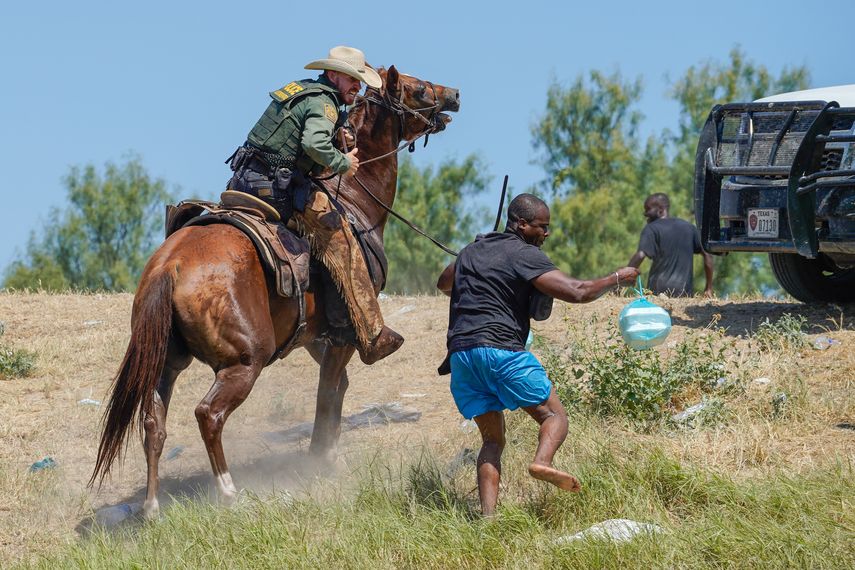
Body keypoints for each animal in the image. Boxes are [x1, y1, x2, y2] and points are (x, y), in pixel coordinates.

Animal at [90, 66, 460, 518]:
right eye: (418, 88)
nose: (454, 95)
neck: (355, 198)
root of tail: (170, 266)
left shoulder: (315, 337)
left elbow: (337, 388)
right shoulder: (344, 335)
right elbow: (327, 393)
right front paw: (322, 460)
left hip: (166, 361)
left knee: (153, 423)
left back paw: (152, 507)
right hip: (245, 361)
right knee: (208, 414)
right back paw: (228, 491)